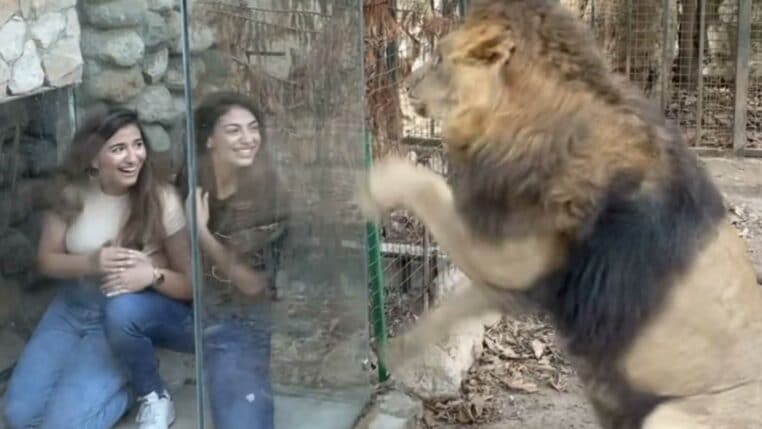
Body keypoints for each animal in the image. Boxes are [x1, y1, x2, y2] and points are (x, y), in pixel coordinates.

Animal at [358, 0, 762, 426]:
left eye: (438, 58)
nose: (407, 85)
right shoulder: (518, 278)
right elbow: (454, 306)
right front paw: (398, 350)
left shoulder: (510, 255)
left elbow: (425, 184)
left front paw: (373, 183)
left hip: (670, 413)